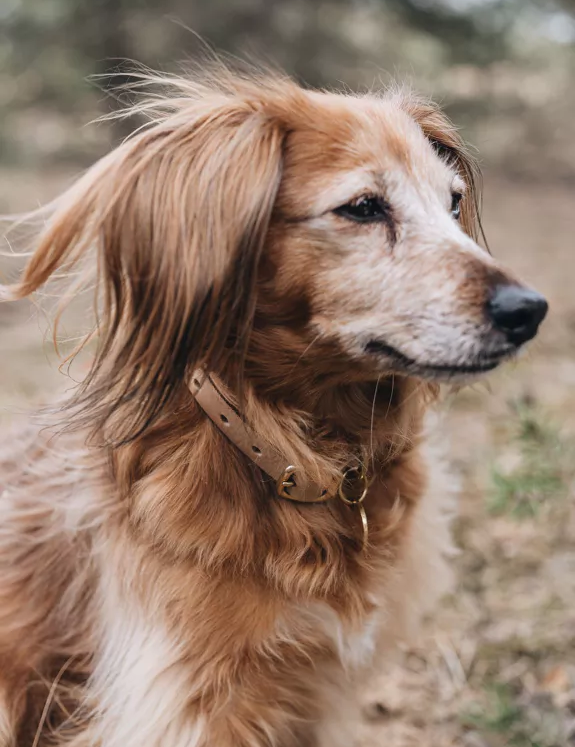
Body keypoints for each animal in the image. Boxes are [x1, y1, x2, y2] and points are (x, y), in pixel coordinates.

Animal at [0, 65, 548, 747]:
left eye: (452, 202)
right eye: (363, 208)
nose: (529, 311)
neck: (284, 455)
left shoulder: (314, 689)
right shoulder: (185, 699)